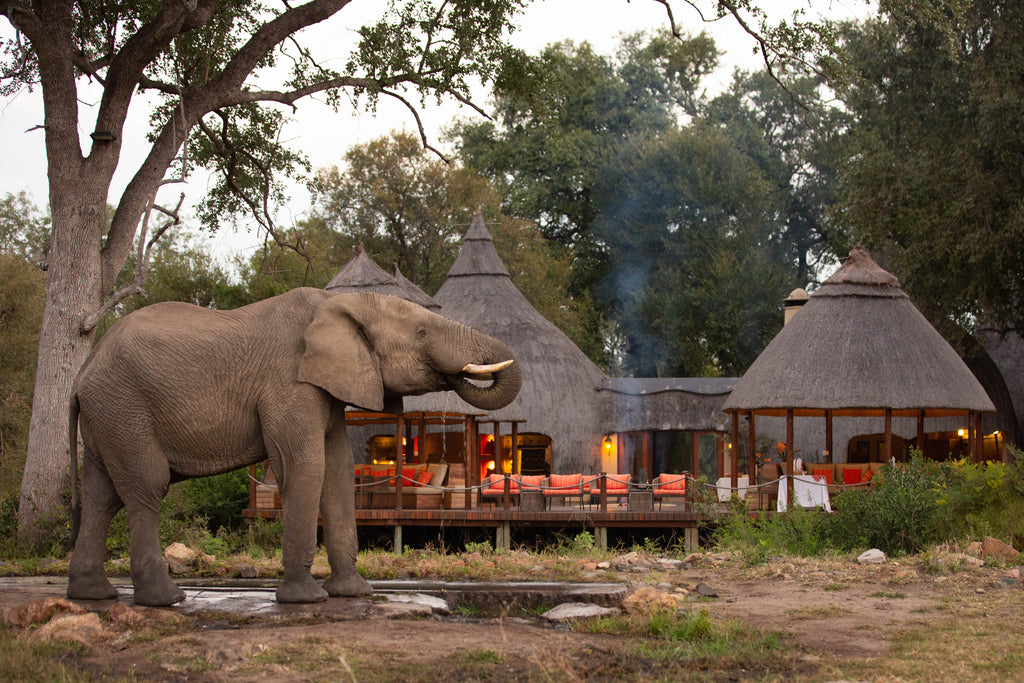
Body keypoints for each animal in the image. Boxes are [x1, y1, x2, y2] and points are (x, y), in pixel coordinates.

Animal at [66, 288, 521, 606]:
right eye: (422, 333)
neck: (341, 301)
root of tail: (83, 370)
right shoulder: (290, 383)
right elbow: (305, 466)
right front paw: (306, 599)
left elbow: (338, 468)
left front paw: (355, 593)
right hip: (124, 407)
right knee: (146, 487)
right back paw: (165, 600)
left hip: (108, 415)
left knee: (101, 495)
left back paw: (93, 595)